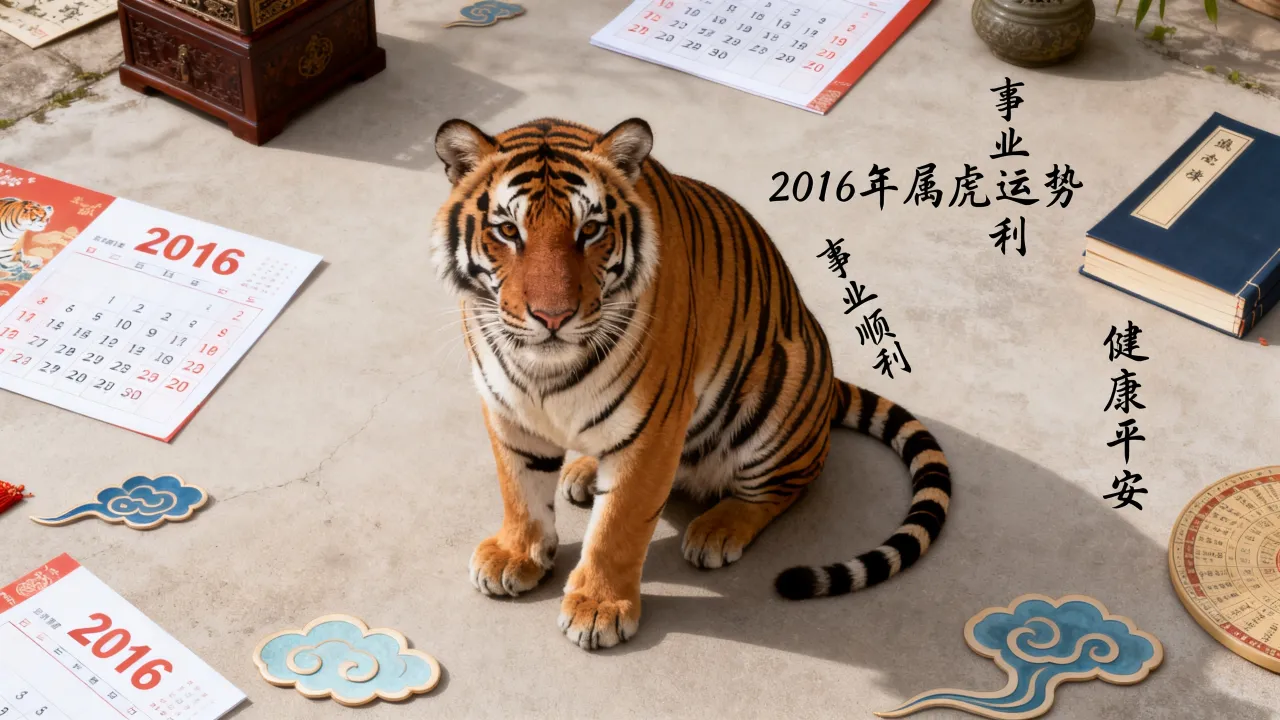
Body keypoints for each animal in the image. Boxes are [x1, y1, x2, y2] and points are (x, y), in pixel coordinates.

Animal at [430, 117, 952, 651]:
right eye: (508, 231)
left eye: (590, 230)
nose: (552, 317)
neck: (544, 371)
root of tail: (828, 384)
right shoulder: (507, 407)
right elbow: (519, 488)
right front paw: (515, 555)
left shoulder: (653, 425)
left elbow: (618, 522)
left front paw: (598, 607)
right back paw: (583, 472)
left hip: (776, 397)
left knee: (786, 486)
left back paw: (716, 530)